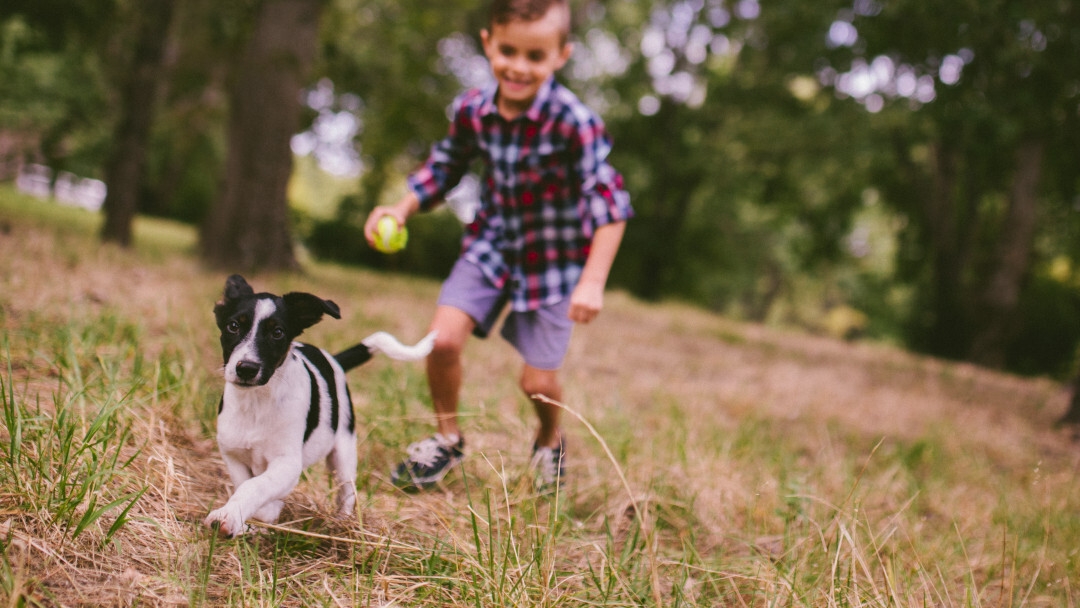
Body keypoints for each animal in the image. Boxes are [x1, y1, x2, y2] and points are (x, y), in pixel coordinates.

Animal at [204, 276, 432, 537]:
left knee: (346, 493)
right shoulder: (232, 454)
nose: (247, 368)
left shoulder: (288, 463)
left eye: (278, 332)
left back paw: (342, 523)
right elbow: (245, 484)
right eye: (233, 326)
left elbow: (256, 487)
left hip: (344, 453)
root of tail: (334, 360)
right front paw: (242, 520)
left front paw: (232, 516)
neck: (256, 402)